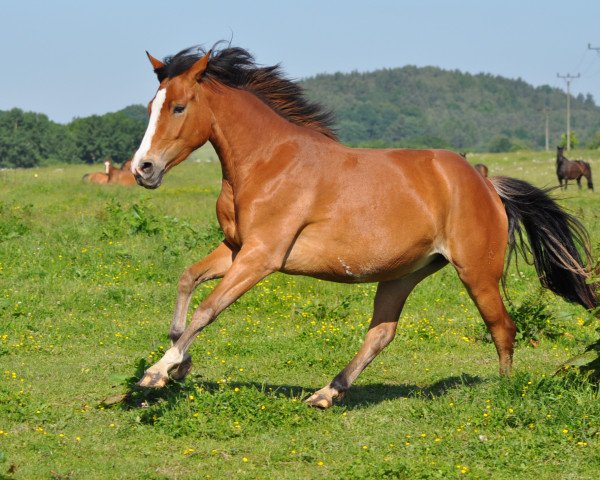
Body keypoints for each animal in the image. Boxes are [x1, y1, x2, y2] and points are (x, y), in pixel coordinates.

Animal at [127, 44, 596, 408]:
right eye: (151, 107)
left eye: (178, 107)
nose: (142, 169)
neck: (268, 162)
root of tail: (485, 184)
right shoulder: (236, 248)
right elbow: (187, 280)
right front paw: (178, 360)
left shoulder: (262, 256)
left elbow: (208, 309)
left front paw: (158, 371)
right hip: (403, 273)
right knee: (382, 333)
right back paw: (327, 392)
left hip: (477, 272)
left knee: (502, 327)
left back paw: (504, 391)